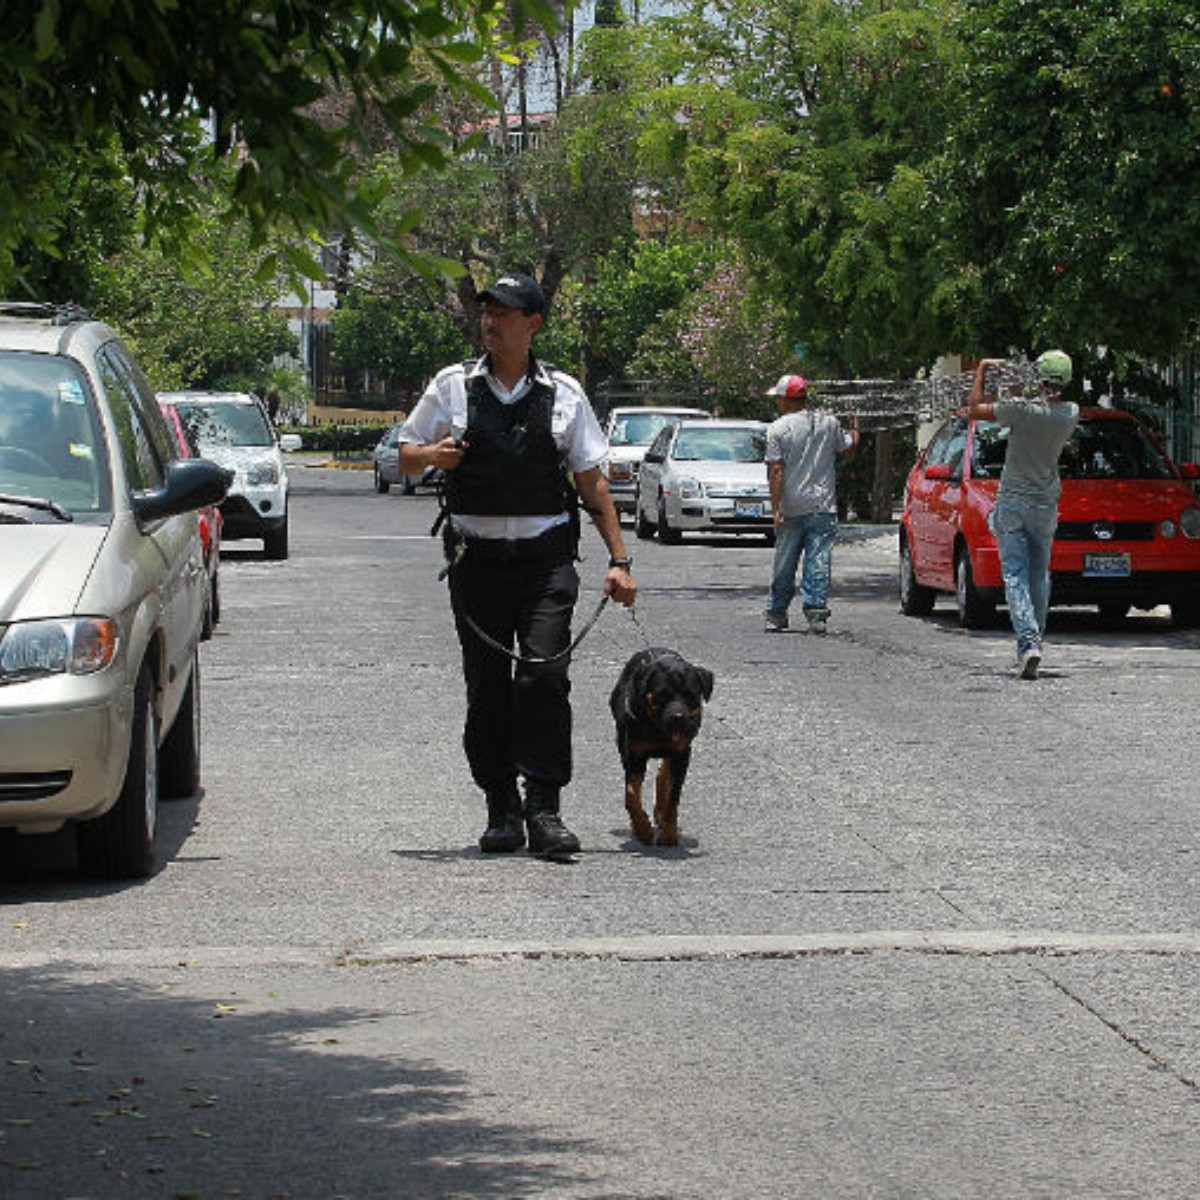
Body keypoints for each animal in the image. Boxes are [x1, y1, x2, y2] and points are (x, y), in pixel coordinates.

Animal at [609, 648, 710, 844]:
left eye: (691, 695)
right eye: (662, 695)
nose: (678, 717)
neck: (657, 729)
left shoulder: (682, 753)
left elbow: (673, 797)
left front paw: (669, 832)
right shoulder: (634, 755)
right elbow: (631, 795)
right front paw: (643, 829)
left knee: (664, 773)